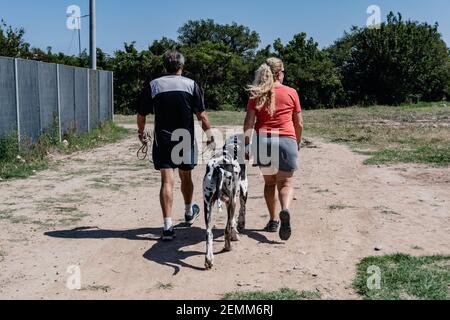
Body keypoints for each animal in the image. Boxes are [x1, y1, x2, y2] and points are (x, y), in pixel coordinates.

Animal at [202, 134, 248, 268]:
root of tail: (219, 167)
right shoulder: (241, 191)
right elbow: (238, 216)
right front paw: (236, 233)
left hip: (207, 206)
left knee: (209, 233)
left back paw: (209, 259)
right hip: (232, 201)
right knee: (226, 229)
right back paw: (228, 247)